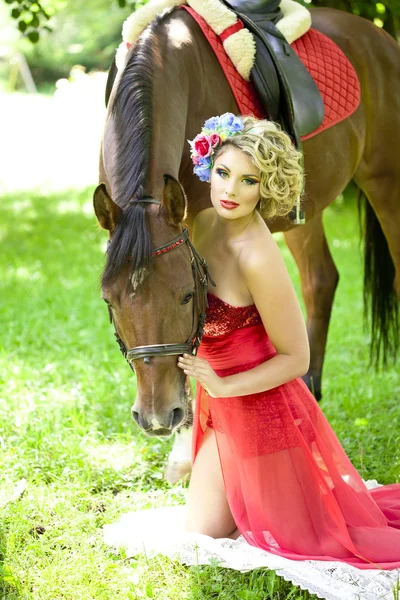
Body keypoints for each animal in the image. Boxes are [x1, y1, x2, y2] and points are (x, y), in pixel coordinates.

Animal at [94, 7, 400, 440]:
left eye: (187, 295)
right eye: (110, 301)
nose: (156, 417)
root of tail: (379, 37)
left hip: (387, 183)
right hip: (303, 211)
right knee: (320, 280)